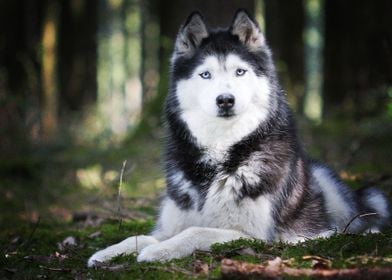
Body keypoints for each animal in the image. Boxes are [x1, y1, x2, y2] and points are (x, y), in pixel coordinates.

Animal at [88, 9, 388, 266]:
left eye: (239, 71)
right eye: (205, 74)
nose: (225, 100)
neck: (220, 154)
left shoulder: (255, 235)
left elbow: (195, 231)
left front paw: (159, 251)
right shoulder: (170, 223)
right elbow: (139, 236)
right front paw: (107, 253)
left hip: (328, 185)